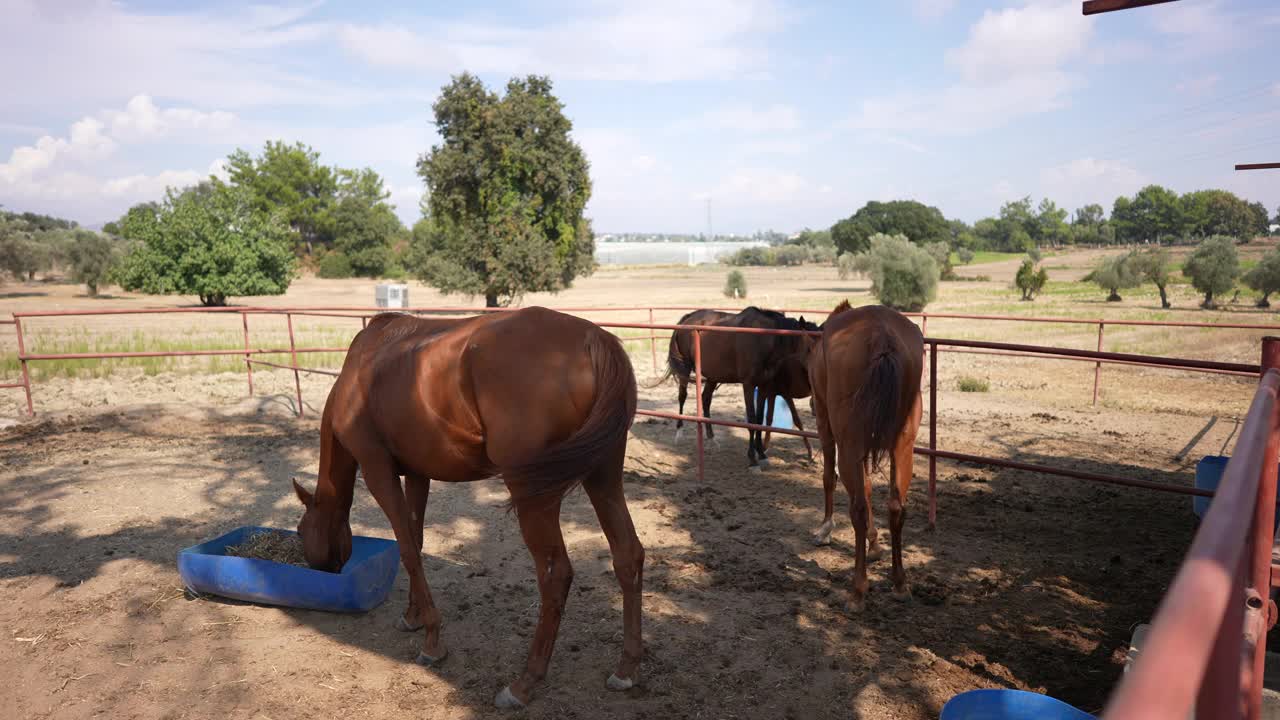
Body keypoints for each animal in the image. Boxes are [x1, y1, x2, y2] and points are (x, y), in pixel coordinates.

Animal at [294, 307, 645, 707]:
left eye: (300, 531)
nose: (321, 571)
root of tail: (592, 338)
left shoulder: (377, 469)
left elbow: (407, 550)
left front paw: (432, 641)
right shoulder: (418, 475)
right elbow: (416, 541)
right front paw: (413, 616)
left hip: (535, 496)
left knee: (556, 575)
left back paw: (524, 683)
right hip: (603, 477)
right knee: (628, 556)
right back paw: (626, 669)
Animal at [665, 307, 814, 466]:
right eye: (810, 347)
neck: (764, 338)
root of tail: (688, 318)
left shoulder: (764, 386)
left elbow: (759, 419)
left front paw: (761, 454)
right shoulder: (748, 385)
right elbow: (752, 419)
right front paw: (752, 458)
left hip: (714, 375)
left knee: (705, 399)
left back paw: (712, 439)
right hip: (684, 368)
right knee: (682, 396)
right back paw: (679, 433)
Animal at [808, 299, 921, 607]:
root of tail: (882, 335)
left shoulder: (826, 425)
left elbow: (829, 477)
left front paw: (825, 528)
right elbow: (869, 488)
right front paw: (875, 545)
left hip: (847, 444)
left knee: (857, 507)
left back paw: (858, 589)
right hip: (902, 446)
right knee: (896, 507)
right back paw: (900, 582)